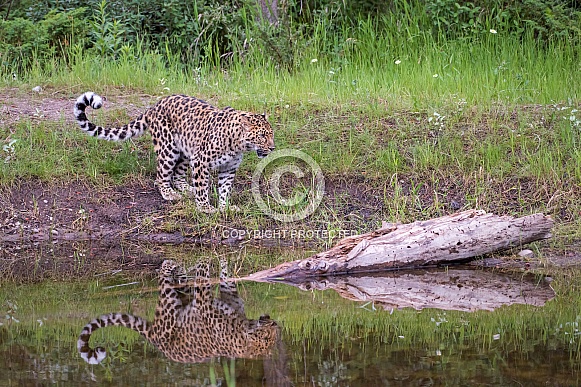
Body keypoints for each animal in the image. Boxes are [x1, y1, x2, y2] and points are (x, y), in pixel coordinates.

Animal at [73, 92, 276, 214]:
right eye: (262, 136)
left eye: (271, 134)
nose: (273, 148)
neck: (238, 144)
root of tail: (155, 105)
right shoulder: (201, 161)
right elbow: (202, 186)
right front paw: (205, 207)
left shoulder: (228, 168)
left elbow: (225, 189)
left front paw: (225, 207)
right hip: (168, 149)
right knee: (161, 176)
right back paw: (169, 194)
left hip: (185, 151)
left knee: (178, 175)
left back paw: (186, 189)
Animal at [77, 260, 278, 366]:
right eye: (268, 337)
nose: (273, 321)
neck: (242, 329)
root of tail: (156, 340)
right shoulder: (221, 299)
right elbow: (219, 278)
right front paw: (217, 259)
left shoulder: (210, 301)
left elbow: (209, 280)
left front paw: (209, 261)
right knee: (174, 279)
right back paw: (176, 267)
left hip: (170, 307)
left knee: (167, 280)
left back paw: (173, 267)